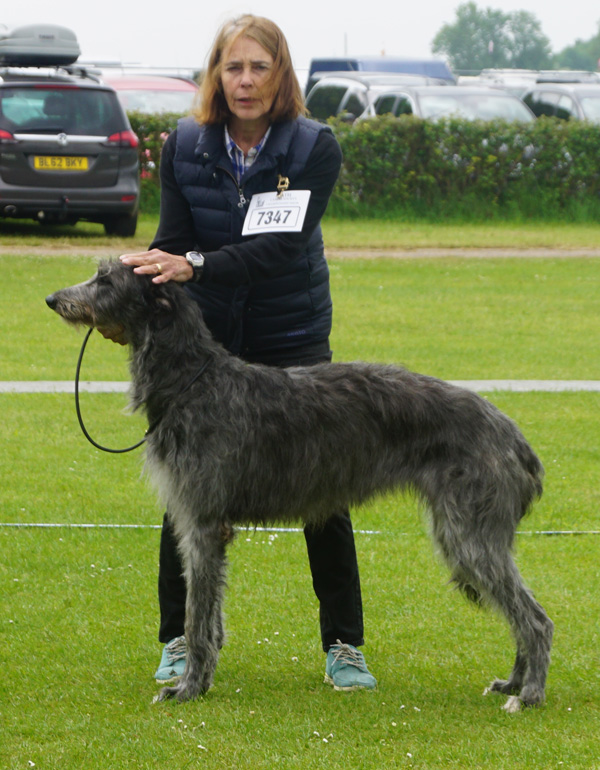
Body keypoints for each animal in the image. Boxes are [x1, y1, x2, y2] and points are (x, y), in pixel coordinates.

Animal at [47, 260, 552, 712]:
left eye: (105, 279)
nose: (53, 299)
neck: (193, 381)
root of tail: (515, 437)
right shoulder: (196, 525)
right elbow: (210, 619)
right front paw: (200, 680)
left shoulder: (204, 524)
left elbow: (196, 620)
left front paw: (188, 689)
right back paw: (513, 681)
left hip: (469, 532)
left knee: (536, 619)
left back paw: (529, 694)